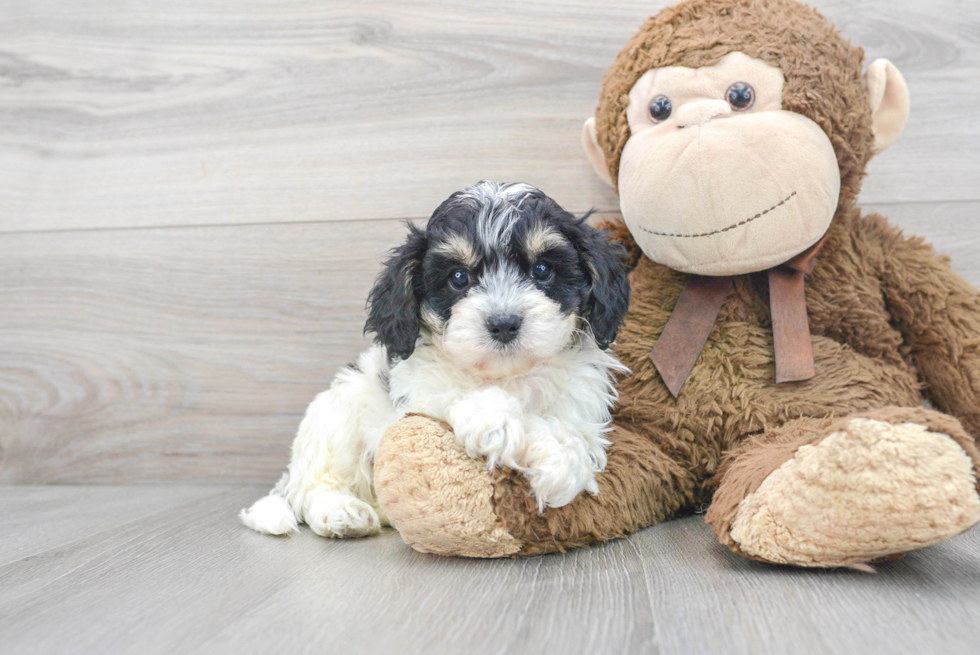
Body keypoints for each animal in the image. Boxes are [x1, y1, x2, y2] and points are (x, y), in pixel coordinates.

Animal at [241, 181, 632, 540]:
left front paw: (561, 462)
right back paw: (341, 513)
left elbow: (572, 431)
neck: (507, 376)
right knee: (313, 486)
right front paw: (498, 422)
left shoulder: (582, 403)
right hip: (337, 415)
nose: (504, 323)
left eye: (542, 270)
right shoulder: (417, 397)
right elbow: (459, 396)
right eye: (459, 277)